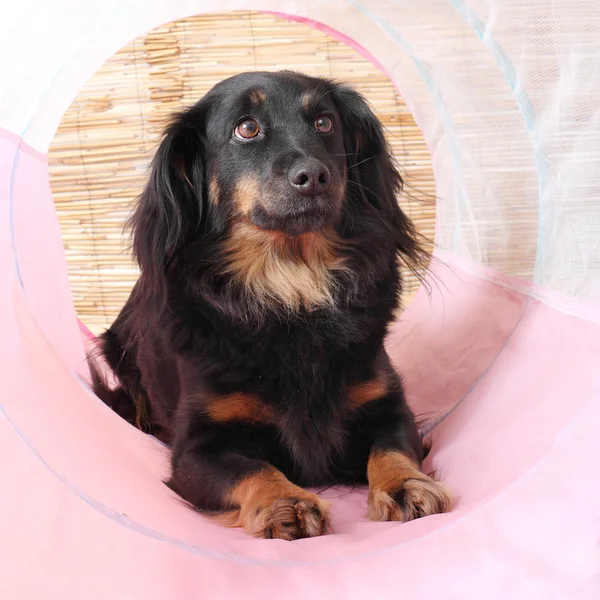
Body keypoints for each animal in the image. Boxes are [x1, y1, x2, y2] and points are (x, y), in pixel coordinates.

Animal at [90, 69, 450, 540]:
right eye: (247, 128)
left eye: (324, 123)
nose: (314, 175)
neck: (290, 285)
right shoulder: (197, 449)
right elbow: (253, 469)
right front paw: (285, 503)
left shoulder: (387, 406)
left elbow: (391, 448)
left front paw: (407, 484)